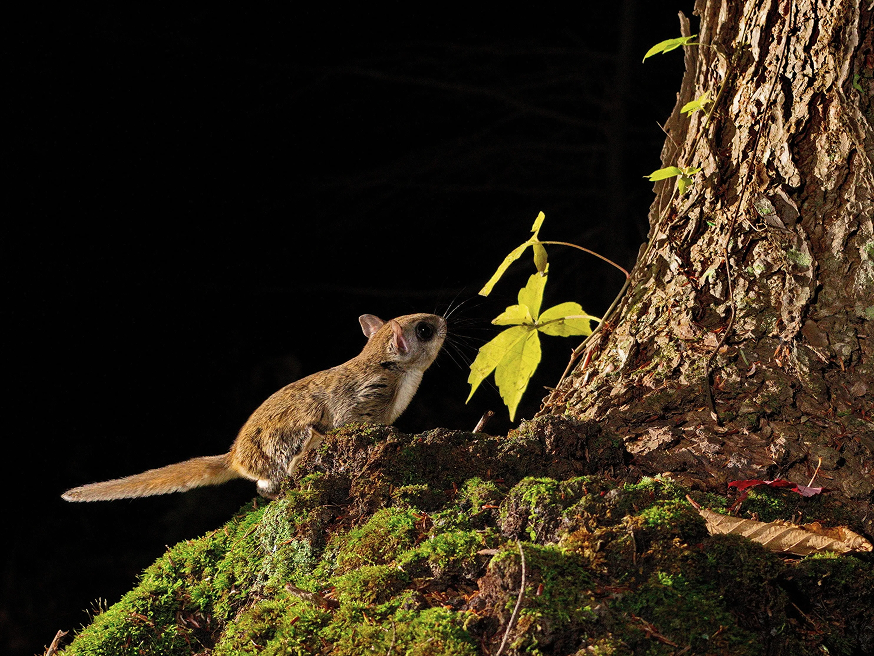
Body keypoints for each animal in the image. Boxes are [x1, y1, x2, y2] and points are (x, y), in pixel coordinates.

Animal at [62, 313, 446, 502]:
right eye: (425, 330)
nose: (445, 321)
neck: (393, 369)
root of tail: (234, 457)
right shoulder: (361, 401)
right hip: (297, 434)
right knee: (273, 479)